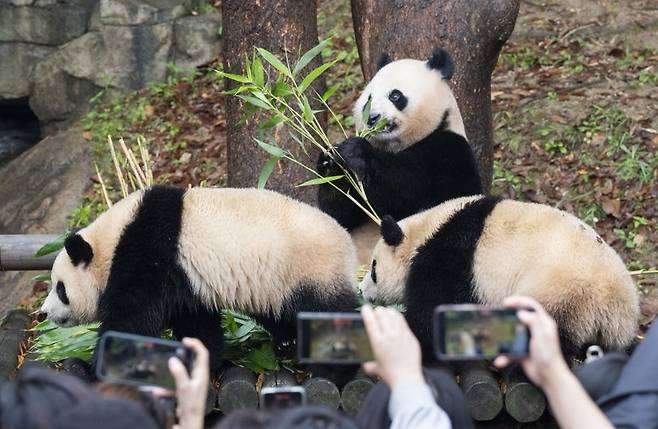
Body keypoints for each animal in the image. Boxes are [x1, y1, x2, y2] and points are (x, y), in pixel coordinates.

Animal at [39, 186, 358, 372]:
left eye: (60, 288)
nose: (44, 313)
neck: (111, 241)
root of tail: (348, 244)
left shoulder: (147, 255)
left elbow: (130, 322)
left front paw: (95, 366)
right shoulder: (185, 282)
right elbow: (197, 324)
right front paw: (198, 360)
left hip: (308, 270)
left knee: (329, 315)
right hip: (274, 286)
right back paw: (286, 343)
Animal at [316, 49, 480, 264]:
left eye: (395, 95)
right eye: (368, 99)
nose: (373, 118)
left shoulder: (449, 154)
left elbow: (407, 190)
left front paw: (355, 150)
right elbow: (337, 215)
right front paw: (330, 163)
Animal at [356, 196, 640, 360]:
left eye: (374, 269)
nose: (362, 290)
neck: (424, 233)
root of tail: (615, 305)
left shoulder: (450, 260)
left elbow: (432, 312)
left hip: (562, 294)